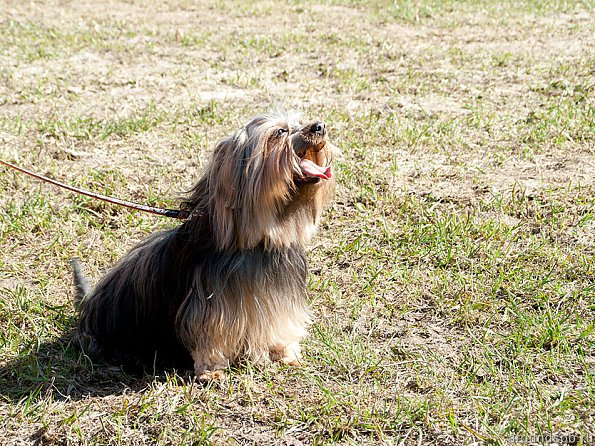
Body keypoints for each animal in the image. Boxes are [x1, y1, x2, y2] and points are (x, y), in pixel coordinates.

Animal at [71, 111, 336, 380]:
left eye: (302, 121)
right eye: (280, 132)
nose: (320, 127)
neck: (257, 241)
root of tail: (90, 305)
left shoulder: (280, 296)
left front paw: (283, 353)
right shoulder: (207, 307)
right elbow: (210, 336)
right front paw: (211, 371)